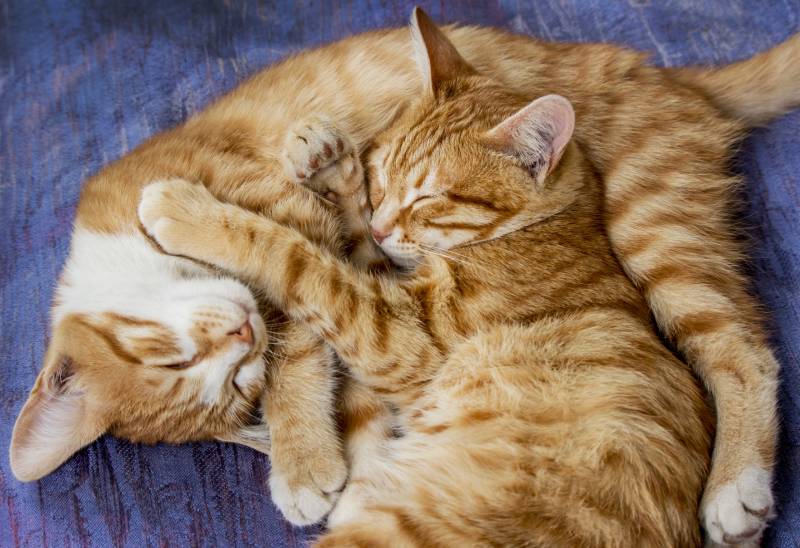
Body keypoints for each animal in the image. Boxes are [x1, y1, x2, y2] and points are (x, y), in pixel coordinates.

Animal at [9, 7, 796, 544]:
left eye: (171, 358)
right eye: (234, 388)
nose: (241, 335)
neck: (111, 236)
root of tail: (670, 74)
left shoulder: (301, 233)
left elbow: (290, 280)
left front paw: (302, 461)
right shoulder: (374, 272)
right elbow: (341, 297)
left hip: (653, 228)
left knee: (740, 348)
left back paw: (735, 488)